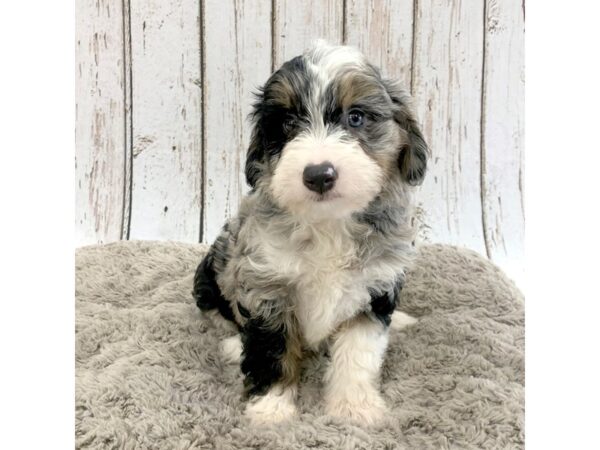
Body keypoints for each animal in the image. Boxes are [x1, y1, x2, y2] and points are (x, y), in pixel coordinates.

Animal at [192, 41, 426, 426]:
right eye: (287, 123)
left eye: (356, 117)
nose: (318, 174)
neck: (329, 223)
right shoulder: (265, 284)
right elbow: (271, 348)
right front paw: (271, 408)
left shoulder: (375, 285)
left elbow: (358, 351)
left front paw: (354, 407)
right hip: (210, 277)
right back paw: (232, 345)